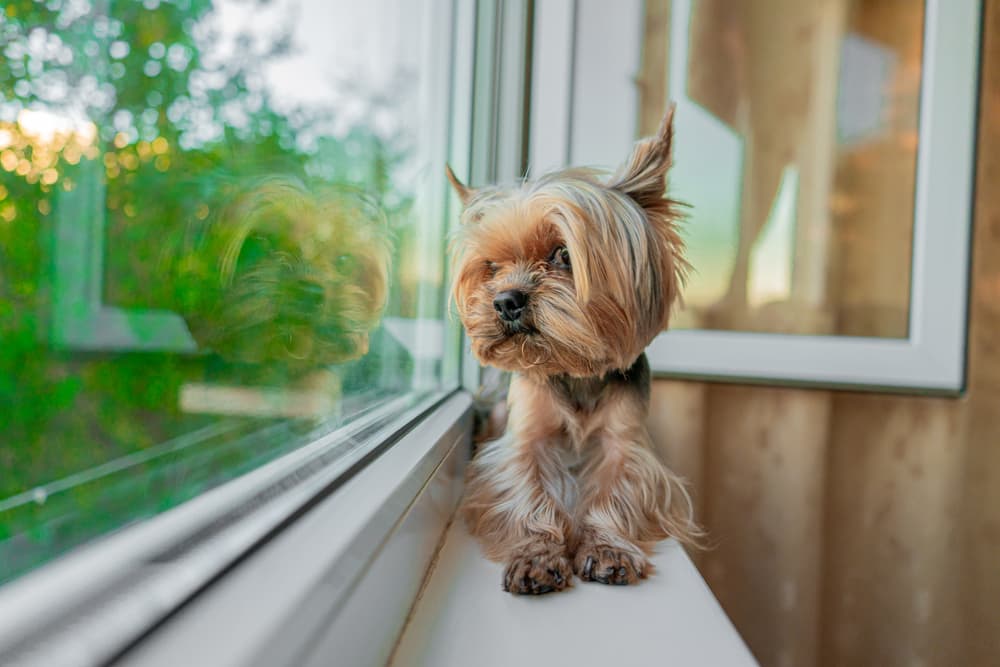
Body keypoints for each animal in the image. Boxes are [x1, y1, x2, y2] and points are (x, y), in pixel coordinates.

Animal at [450, 107, 700, 596]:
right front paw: (536, 556)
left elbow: (615, 488)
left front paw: (606, 549)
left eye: (563, 254)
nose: (505, 301)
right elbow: (526, 489)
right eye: (492, 267)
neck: (575, 369)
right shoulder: (524, 436)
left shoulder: (626, 442)